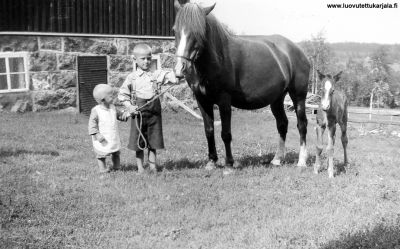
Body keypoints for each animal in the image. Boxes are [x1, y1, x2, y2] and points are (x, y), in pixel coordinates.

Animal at [173, 0, 310, 170]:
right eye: (175, 30)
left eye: (198, 32)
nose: (180, 69)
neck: (217, 59)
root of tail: (299, 50)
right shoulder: (202, 100)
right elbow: (209, 130)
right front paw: (211, 161)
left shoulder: (224, 100)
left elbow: (225, 133)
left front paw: (229, 163)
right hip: (277, 99)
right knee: (282, 124)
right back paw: (277, 159)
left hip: (298, 96)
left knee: (302, 124)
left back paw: (302, 161)